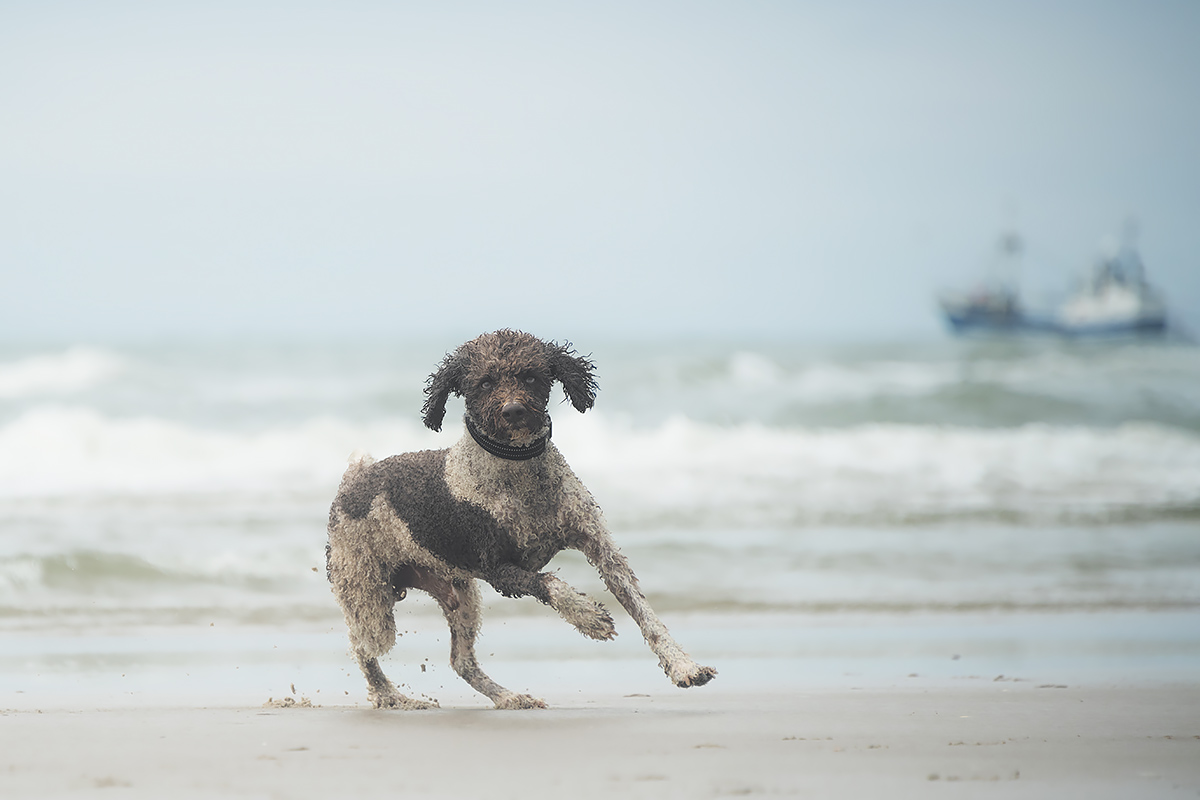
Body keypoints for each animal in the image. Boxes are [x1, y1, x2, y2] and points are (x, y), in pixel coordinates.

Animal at [324, 328, 715, 710]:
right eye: (484, 382)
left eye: (530, 375)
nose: (513, 411)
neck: (517, 468)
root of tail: (353, 479)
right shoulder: (498, 570)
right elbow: (551, 584)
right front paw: (588, 617)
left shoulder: (599, 547)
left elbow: (644, 612)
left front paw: (683, 665)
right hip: (367, 592)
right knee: (363, 647)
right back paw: (388, 695)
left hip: (461, 596)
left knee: (461, 661)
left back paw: (508, 697)